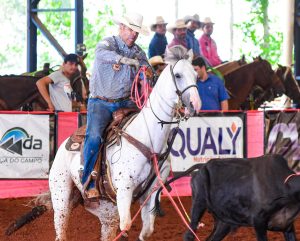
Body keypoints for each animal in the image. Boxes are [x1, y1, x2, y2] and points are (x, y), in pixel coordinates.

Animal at [48, 46, 200, 240]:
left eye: (195, 75)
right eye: (178, 75)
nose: (195, 104)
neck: (147, 139)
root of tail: (63, 145)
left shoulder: (152, 192)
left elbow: (147, 229)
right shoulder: (124, 190)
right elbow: (126, 225)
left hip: (105, 208)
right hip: (61, 196)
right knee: (61, 229)